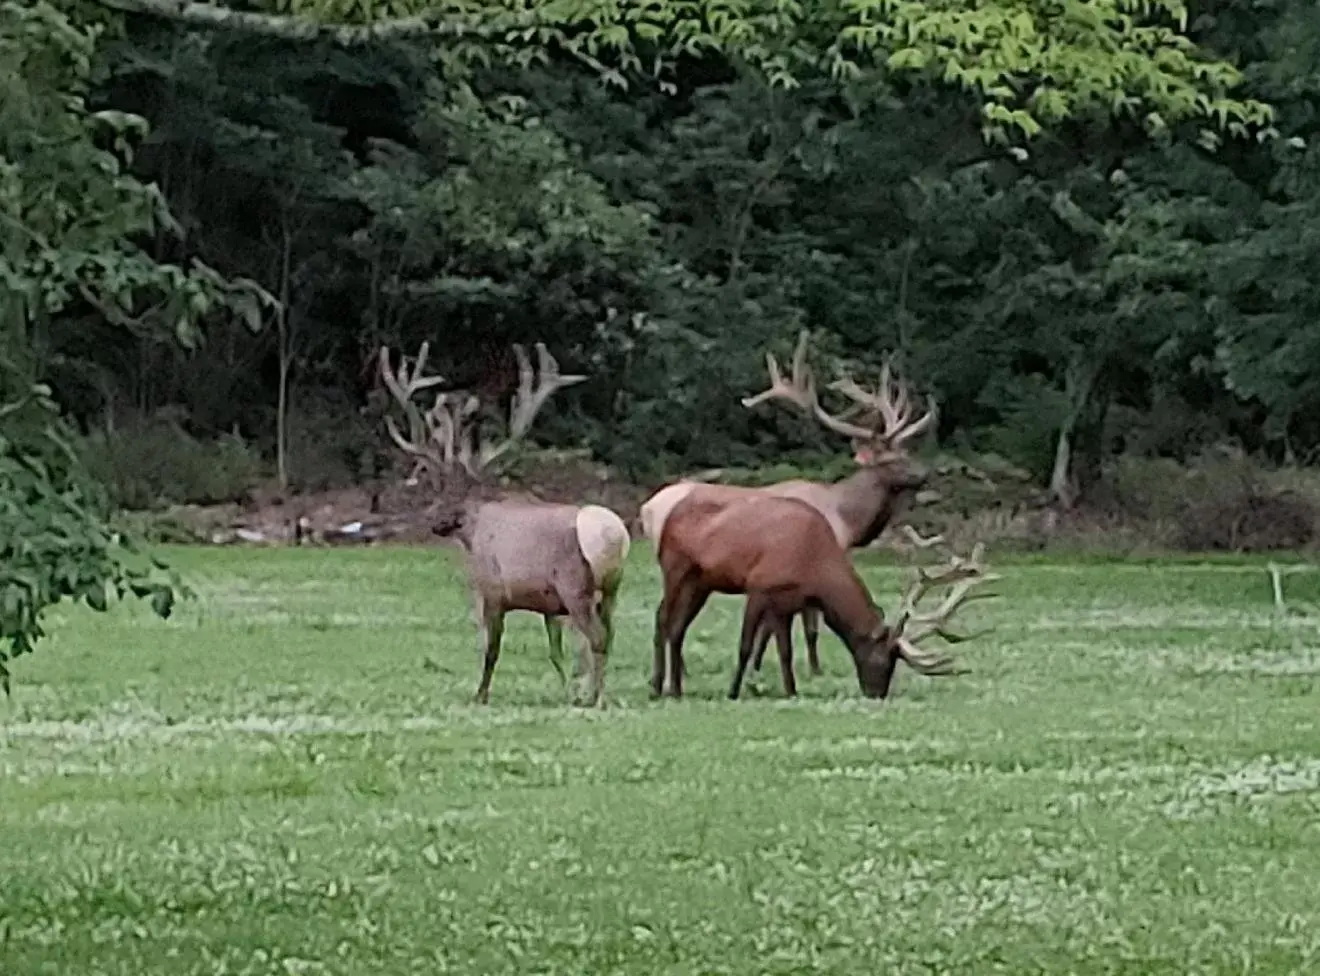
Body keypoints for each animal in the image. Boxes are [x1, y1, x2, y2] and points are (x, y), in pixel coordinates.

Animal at [380, 340, 630, 707]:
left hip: (575, 585)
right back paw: (594, 693)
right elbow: (556, 652)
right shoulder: (549, 605)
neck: (474, 527)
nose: (435, 523)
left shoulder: (492, 589)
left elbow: (492, 648)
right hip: (611, 588)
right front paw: (567, 690)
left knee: (597, 637)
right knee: (608, 636)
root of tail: (615, 535)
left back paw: (598, 698)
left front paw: (480, 694)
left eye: (441, 492)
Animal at [638, 331, 939, 681]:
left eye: (907, 452)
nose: (925, 473)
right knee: (666, 614)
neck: (847, 519)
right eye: (893, 460)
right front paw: (812, 668)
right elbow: (806, 626)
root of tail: (646, 507)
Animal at [649, 496, 992, 702]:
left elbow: (785, 651)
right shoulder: (759, 588)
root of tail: (669, 517)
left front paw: (791, 691)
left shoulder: (789, 602)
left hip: (700, 583)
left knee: (676, 626)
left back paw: (672, 688)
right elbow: (746, 645)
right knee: (664, 617)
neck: (814, 567)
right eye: (883, 658)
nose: (877, 694)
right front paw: (734, 692)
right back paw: (661, 686)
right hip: (675, 569)